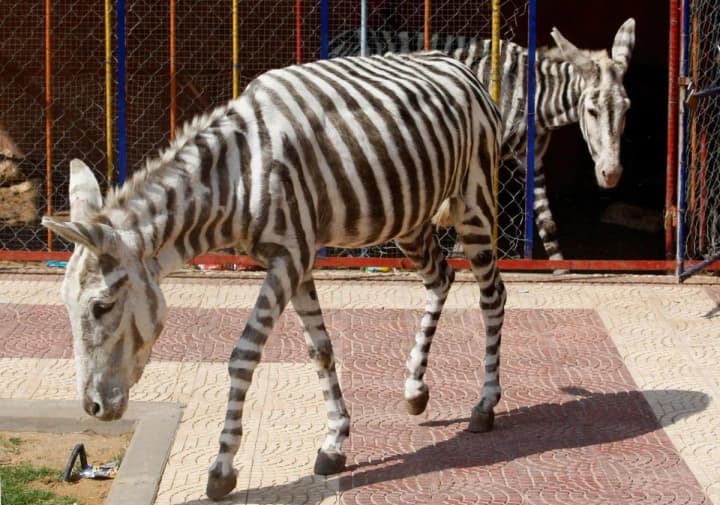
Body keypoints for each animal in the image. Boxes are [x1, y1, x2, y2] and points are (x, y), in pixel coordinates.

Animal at [42, 51, 505, 501]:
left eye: (102, 307)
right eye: (65, 308)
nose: (92, 409)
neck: (236, 177)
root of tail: (460, 66)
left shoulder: (290, 257)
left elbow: (243, 356)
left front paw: (222, 468)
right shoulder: (295, 261)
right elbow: (320, 349)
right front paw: (334, 442)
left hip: (474, 202)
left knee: (492, 296)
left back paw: (485, 405)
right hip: (408, 218)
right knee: (440, 278)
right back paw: (414, 391)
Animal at [330, 18, 636, 262]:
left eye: (626, 110)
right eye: (592, 111)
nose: (611, 175)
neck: (535, 99)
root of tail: (341, 36)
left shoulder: (532, 159)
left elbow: (546, 221)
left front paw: (559, 267)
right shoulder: (483, 150)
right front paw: (459, 252)